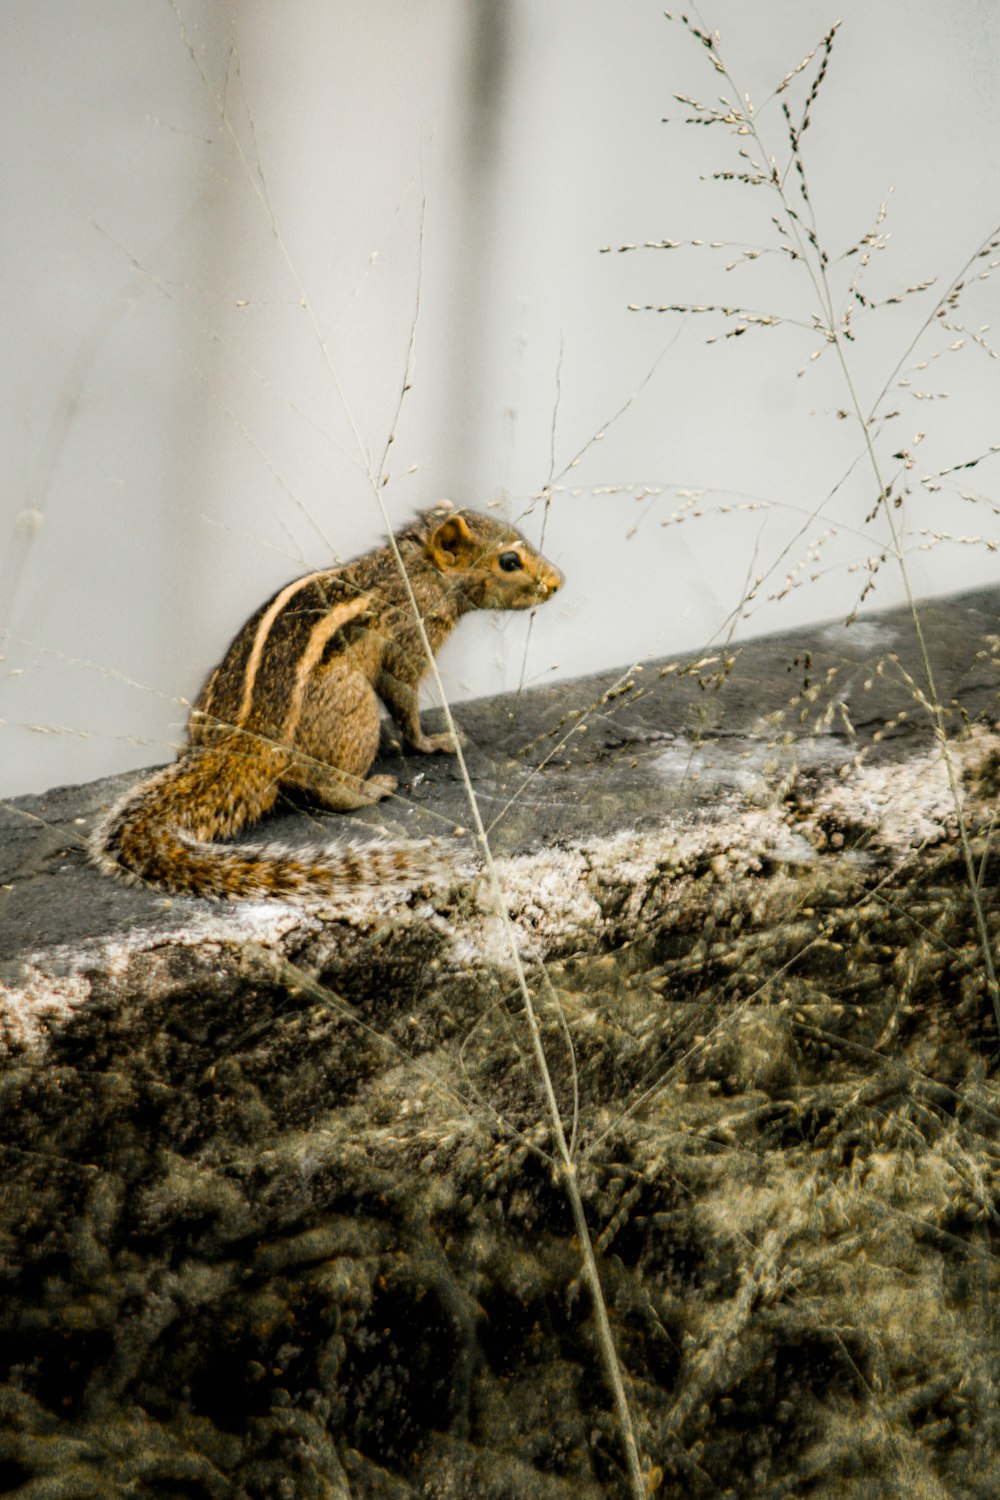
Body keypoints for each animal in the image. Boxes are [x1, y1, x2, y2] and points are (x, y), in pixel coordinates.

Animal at [91, 504, 563, 900]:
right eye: (509, 561)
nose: (558, 581)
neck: (414, 568)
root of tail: (247, 744)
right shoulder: (410, 639)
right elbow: (404, 697)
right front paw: (435, 742)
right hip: (355, 714)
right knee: (329, 790)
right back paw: (372, 788)